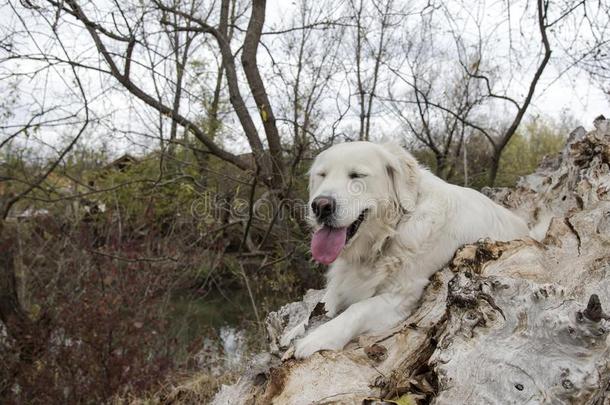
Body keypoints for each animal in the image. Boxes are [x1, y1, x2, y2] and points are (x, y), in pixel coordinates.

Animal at [294, 142, 528, 356]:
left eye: (357, 175)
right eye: (322, 175)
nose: (321, 206)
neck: (388, 236)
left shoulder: (401, 298)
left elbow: (357, 309)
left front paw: (319, 337)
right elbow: (324, 302)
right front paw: (296, 330)